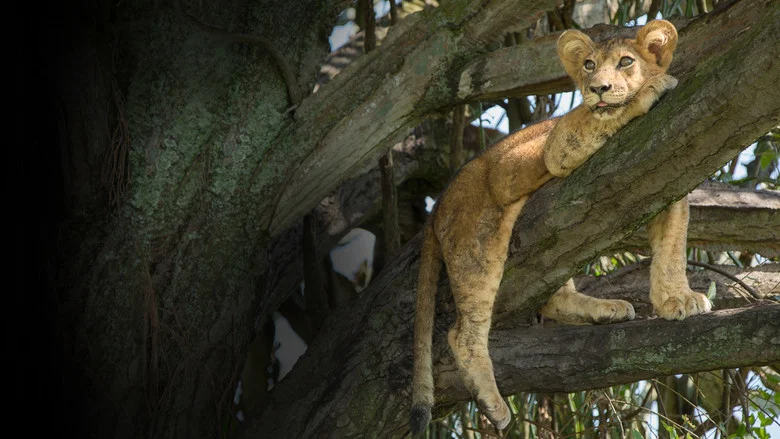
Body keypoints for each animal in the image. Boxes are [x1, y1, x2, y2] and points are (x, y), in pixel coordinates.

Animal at [410, 20, 712, 434]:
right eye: (588, 65)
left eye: (626, 61)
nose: (597, 88)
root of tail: (438, 205)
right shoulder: (559, 145)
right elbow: (601, 117)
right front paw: (651, 89)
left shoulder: (669, 183)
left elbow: (672, 248)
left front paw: (677, 299)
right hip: (477, 243)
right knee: (464, 332)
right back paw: (493, 403)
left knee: (554, 295)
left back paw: (605, 309)